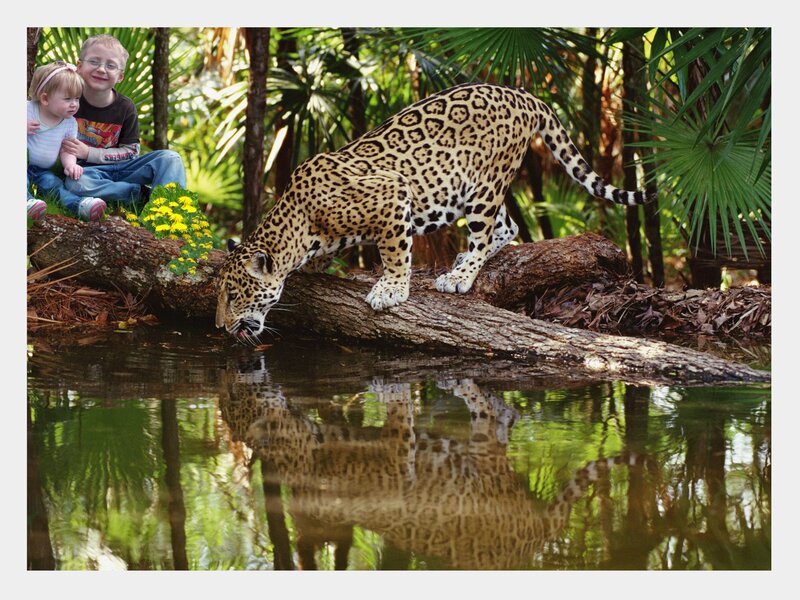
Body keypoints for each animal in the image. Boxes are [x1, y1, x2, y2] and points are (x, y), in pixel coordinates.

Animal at [216, 81, 655, 341]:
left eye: (234, 294)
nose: (220, 326)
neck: (299, 223)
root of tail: (522, 94)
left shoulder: (393, 194)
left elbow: (395, 252)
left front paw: (391, 289)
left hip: (484, 185)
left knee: (486, 230)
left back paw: (460, 275)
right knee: (509, 225)